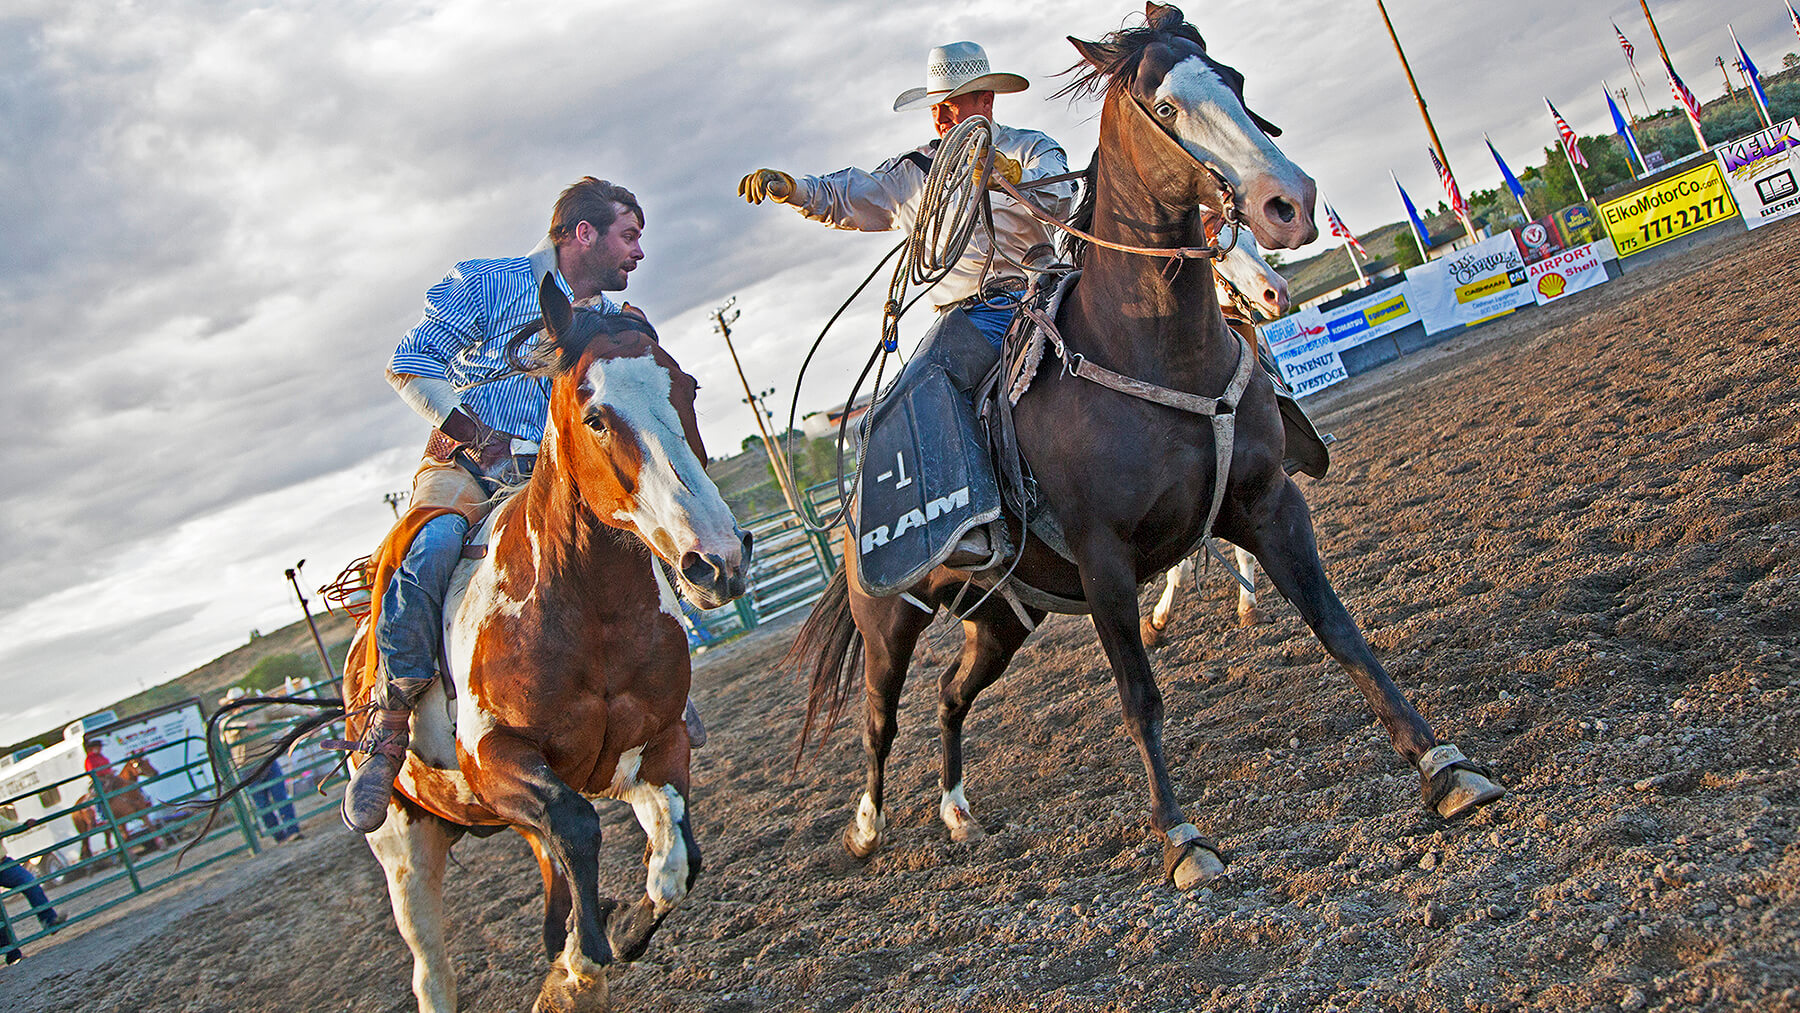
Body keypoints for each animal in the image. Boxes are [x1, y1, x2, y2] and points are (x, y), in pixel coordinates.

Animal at [343, 277, 745, 1013]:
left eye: (689, 387)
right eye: (596, 416)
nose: (717, 560)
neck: (590, 617)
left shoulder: (659, 743)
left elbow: (676, 861)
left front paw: (607, 943)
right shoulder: (496, 759)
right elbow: (579, 824)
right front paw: (585, 963)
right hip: (403, 841)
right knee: (431, 969)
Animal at [795, 3, 1497, 896]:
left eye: (1234, 80)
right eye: (1166, 108)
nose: (1289, 202)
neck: (1152, 346)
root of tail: (850, 509)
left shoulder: (1268, 503)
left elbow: (1338, 628)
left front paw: (1442, 763)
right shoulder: (1105, 561)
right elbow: (1139, 694)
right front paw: (1181, 837)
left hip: (1002, 616)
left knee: (951, 694)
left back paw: (956, 811)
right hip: (889, 618)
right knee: (879, 719)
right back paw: (865, 826)